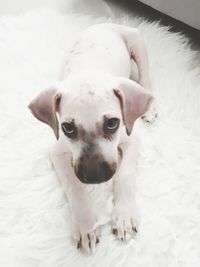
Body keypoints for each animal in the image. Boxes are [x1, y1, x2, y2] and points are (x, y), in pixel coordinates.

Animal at [28, 23, 156, 253]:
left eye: (112, 123)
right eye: (67, 128)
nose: (95, 177)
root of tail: (105, 23)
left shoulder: (132, 140)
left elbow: (124, 176)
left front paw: (124, 215)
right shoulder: (57, 152)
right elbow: (74, 187)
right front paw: (85, 225)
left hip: (137, 42)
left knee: (145, 76)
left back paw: (149, 107)